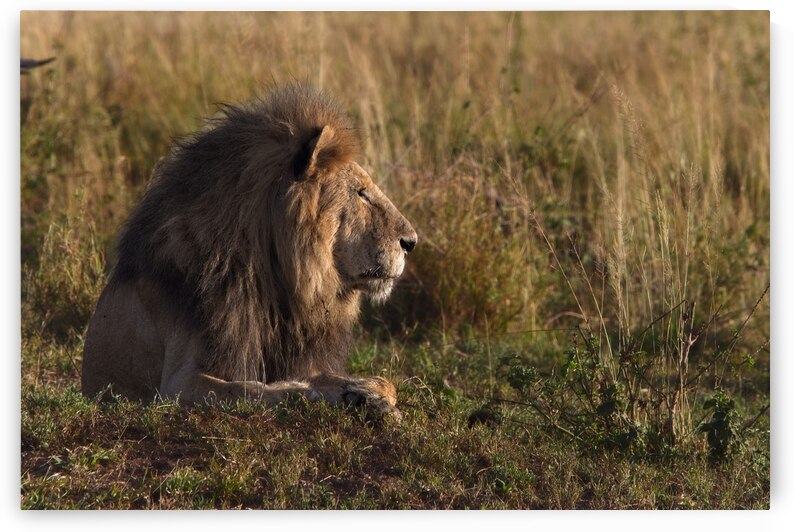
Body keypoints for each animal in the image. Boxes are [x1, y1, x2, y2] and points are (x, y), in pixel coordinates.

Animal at [81, 84, 417, 419]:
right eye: (361, 193)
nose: (411, 242)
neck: (274, 280)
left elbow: (384, 382)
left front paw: (367, 392)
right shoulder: (178, 384)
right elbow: (261, 389)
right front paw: (340, 396)